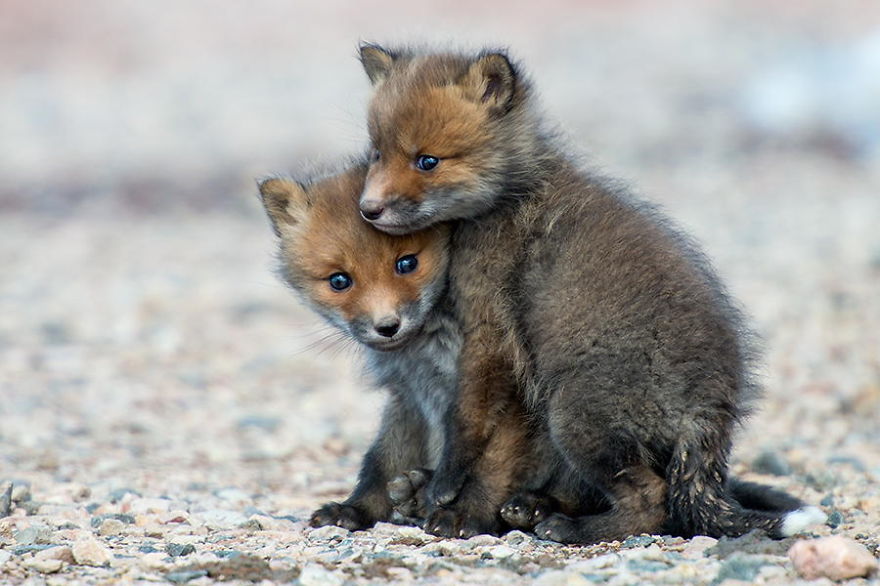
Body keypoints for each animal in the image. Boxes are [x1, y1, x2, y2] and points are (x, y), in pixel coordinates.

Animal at [258, 160, 536, 532]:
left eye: (406, 263)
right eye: (339, 281)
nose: (387, 327)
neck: (426, 354)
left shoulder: (510, 392)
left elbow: (492, 466)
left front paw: (469, 513)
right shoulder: (408, 396)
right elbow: (381, 460)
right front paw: (356, 508)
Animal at [353, 43, 826, 543]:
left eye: (427, 161)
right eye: (377, 153)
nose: (369, 210)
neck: (508, 195)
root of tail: (713, 407)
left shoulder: (489, 326)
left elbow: (465, 417)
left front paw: (445, 483)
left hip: (575, 416)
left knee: (651, 501)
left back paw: (568, 527)